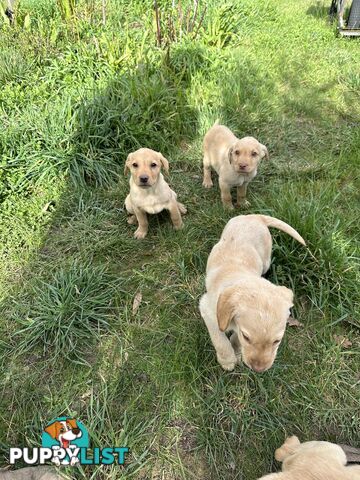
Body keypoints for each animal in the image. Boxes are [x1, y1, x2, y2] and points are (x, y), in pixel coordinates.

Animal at [198, 214, 306, 372]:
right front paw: (228, 360)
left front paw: (237, 351)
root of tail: (255, 216)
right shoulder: (208, 311)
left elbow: (234, 339)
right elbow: (220, 340)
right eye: (247, 337)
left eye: (277, 341)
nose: (258, 369)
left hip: (266, 260)